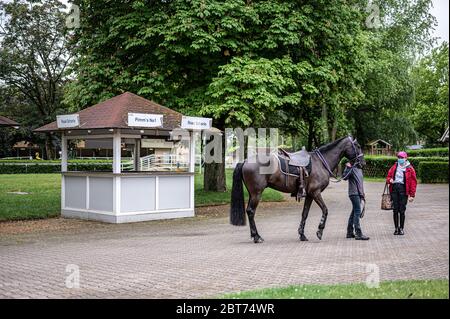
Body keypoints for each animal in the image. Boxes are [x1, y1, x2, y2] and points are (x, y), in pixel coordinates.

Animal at [230, 135, 364, 242]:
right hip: (257, 194)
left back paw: (255, 235)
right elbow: (325, 210)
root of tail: (245, 160)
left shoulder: (309, 195)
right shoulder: (316, 193)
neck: (320, 163)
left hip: (252, 194)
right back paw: (257, 237)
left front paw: (302, 235)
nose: (363, 163)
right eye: (357, 146)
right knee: (251, 211)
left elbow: (305, 214)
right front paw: (319, 231)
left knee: (249, 211)